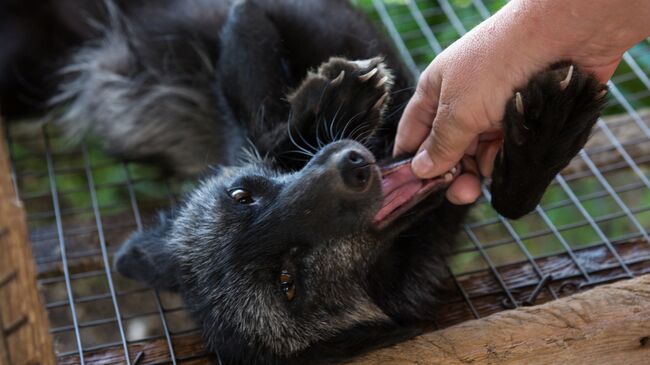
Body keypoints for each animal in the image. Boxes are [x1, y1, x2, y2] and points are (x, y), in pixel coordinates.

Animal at [1, 0, 608, 362]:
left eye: (242, 197)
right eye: (288, 281)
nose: (353, 167)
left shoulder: (262, 22)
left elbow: (249, 51)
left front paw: (324, 106)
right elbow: (512, 202)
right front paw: (551, 129)